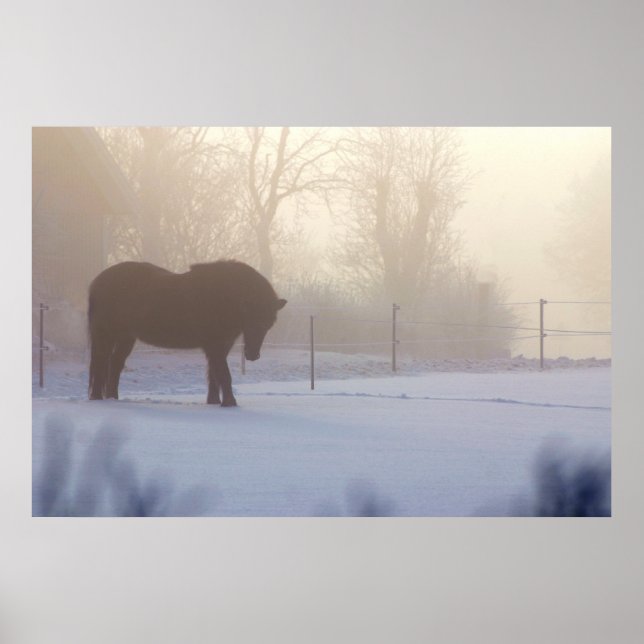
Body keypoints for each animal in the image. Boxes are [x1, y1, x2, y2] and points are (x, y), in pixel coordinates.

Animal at [87, 260, 287, 406]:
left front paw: (214, 401)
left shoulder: (221, 346)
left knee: (115, 364)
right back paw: (97, 398)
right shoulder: (215, 345)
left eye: (268, 324)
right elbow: (223, 374)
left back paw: (113, 398)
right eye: (251, 320)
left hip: (126, 337)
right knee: (101, 362)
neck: (226, 297)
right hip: (105, 335)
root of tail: (97, 282)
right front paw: (230, 402)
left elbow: (214, 373)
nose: (252, 355)